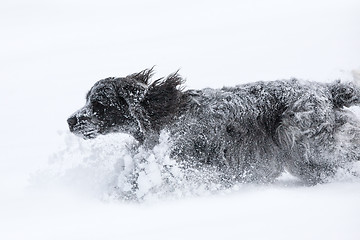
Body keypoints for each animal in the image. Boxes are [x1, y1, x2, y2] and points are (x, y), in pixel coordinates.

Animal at [67, 68, 360, 185]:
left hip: (303, 136)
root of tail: (326, 90)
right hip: (302, 157)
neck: (161, 116)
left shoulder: (185, 157)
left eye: (98, 104)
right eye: (87, 99)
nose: (70, 121)